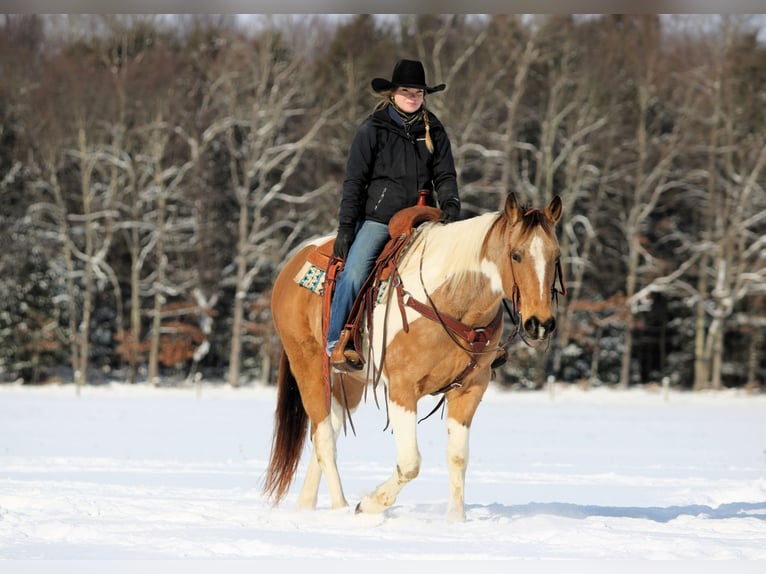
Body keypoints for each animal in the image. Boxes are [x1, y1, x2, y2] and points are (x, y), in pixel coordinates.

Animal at [264, 190, 563, 521]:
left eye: (556, 256)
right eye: (516, 255)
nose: (540, 323)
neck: (450, 300)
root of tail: (294, 260)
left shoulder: (470, 389)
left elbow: (458, 457)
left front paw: (457, 521)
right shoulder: (402, 389)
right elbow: (410, 463)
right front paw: (369, 504)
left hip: (350, 381)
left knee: (327, 430)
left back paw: (307, 504)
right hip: (308, 365)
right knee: (324, 438)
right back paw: (341, 507)